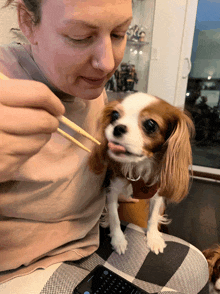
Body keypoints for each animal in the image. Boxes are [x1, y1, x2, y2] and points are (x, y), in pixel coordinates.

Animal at [89, 92, 194, 255]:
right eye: (115, 115)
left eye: (151, 125)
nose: (118, 128)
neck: (138, 165)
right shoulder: (112, 189)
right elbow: (114, 216)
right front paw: (118, 240)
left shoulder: (157, 192)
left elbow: (153, 216)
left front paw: (153, 238)